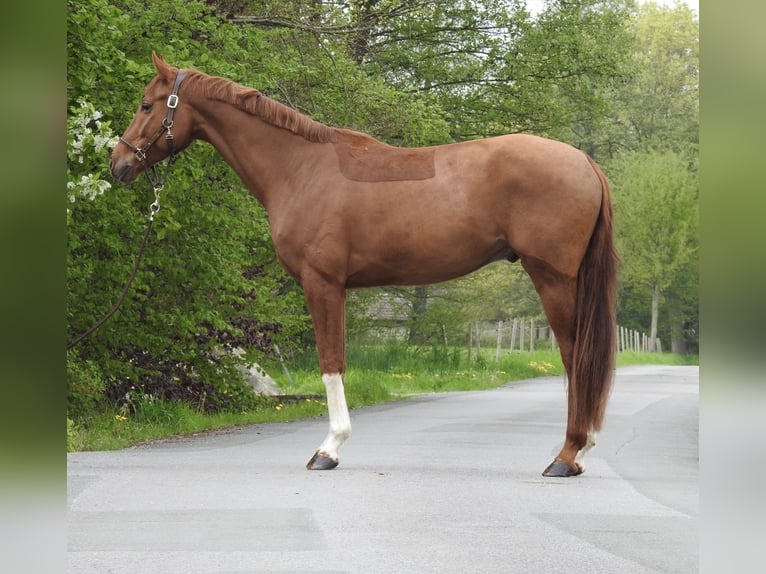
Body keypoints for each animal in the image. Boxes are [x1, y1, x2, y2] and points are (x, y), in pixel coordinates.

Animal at [110, 53, 618, 477]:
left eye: (146, 104)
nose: (118, 164)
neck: (300, 168)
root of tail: (585, 162)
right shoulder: (336, 287)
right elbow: (337, 362)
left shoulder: (322, 283)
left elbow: (330, 363)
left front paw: (329, 449)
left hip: (552, 277)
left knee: (575, 355)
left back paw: (567, 456)